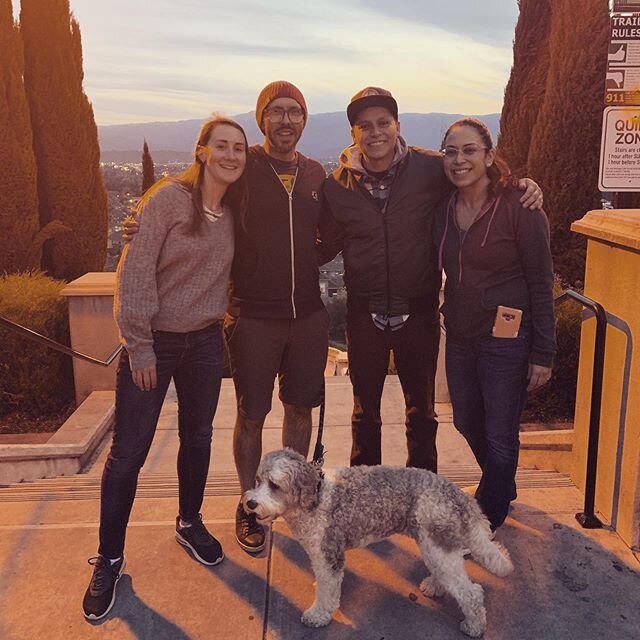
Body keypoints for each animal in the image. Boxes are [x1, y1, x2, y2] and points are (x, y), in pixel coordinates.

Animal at [242, 448, 512, 636]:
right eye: (258, 480)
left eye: (275, 485)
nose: (250, 503)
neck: (316, 497)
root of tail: (458, 494)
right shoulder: (322, 558)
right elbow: (325, 585)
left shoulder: (329, 556)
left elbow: (328, 590)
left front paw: (319, 615)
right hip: (435, 547)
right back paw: (435, 585)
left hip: (437, 546)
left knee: (471, 593)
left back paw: (474, 626)